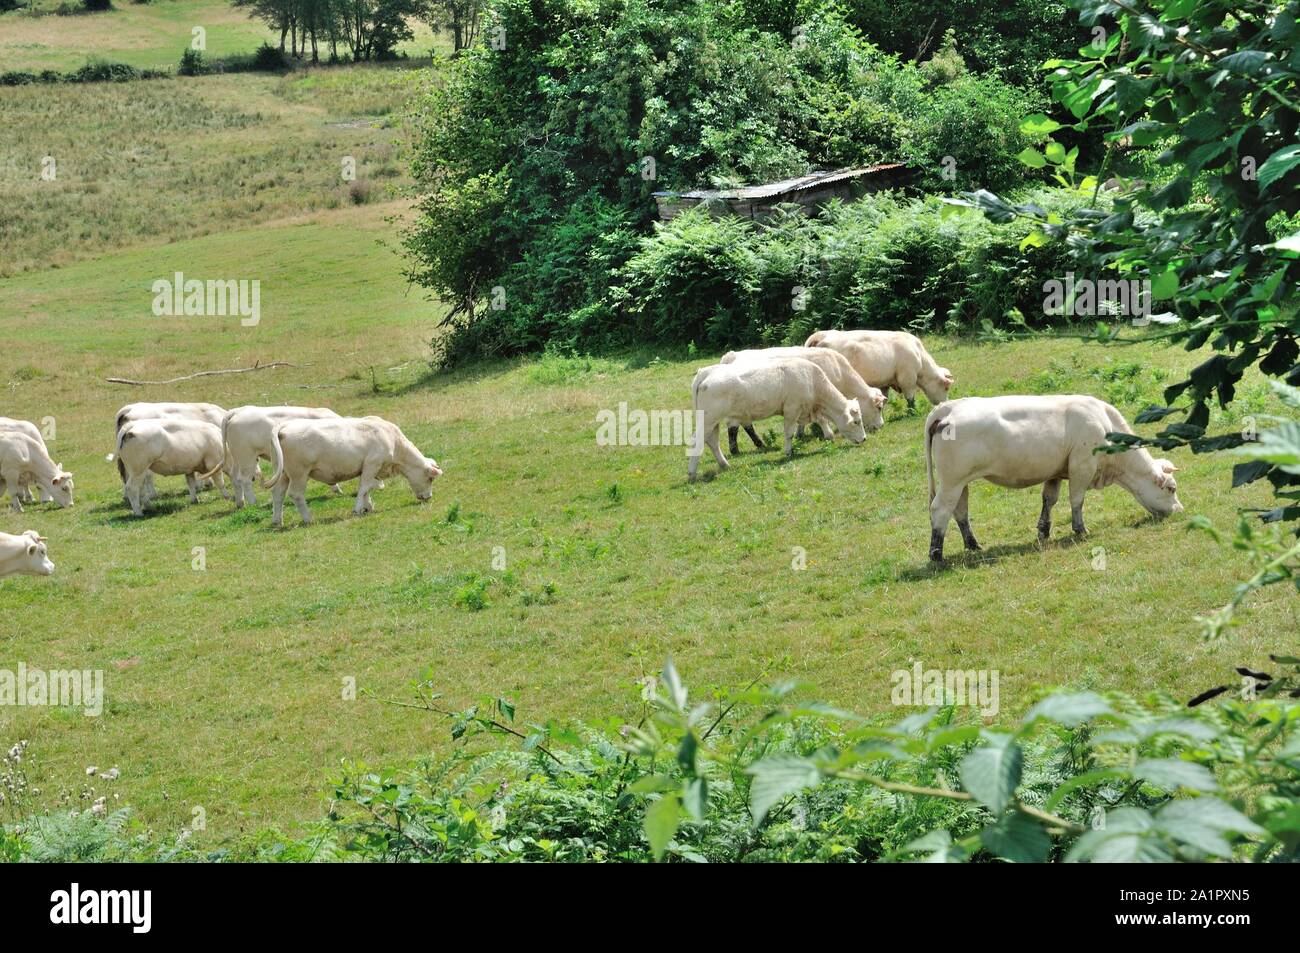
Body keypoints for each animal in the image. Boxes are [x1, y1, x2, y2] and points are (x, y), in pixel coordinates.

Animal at [266, 416, 442, 527]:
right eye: (430, 479)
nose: (428, 497)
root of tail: (286, 425)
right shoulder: (372, 464)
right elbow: (364, 488)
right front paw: (358, 509)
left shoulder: (368, 469)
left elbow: (368, 488)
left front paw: (368, 507)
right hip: (299, 473)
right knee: (296, 494)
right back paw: (309, 519)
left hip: (283, 473)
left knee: (277, 493)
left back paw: (277, 521)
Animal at [688, 358, 867, 482]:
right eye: (856, 421)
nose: (864, 439)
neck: (812, 380)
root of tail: (706, 371)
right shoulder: (791, 409)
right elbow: (789, 433)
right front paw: (788, 452)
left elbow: (822, 421)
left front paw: (829, 437)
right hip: (709, 418)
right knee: (698, 441)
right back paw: (692, 474)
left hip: (712, 421)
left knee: (712, 441)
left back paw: (724, 465)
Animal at [720, 346, 886, 452]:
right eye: (879, 408)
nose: (881, 425)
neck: (839, 370)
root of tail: (732, 355)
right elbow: (822, 419)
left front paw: (801, 433)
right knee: (734, 426)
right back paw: (736, 449)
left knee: (746, 425)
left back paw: (759, 444)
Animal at [805, 329, 954, 409]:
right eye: (946, 387)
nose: (945, 403)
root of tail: (822, 336)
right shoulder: (907, 378)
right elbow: (910, 398)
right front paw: (912, 411)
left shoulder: (885, 383)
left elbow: (884, 398)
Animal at [924, 395, 1184, 562]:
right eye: (1171, 488)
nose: (1180, 510)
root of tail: (947, 407)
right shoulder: (1082, 466)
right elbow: (1077, 500)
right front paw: (1080, 529)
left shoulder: (1056, 472)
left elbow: (1049, 500)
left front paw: (1043, 532)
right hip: (952, 481)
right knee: (940, 510)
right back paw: (936, 555)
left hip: (960, 483)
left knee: (960, 511)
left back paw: (973, 545)